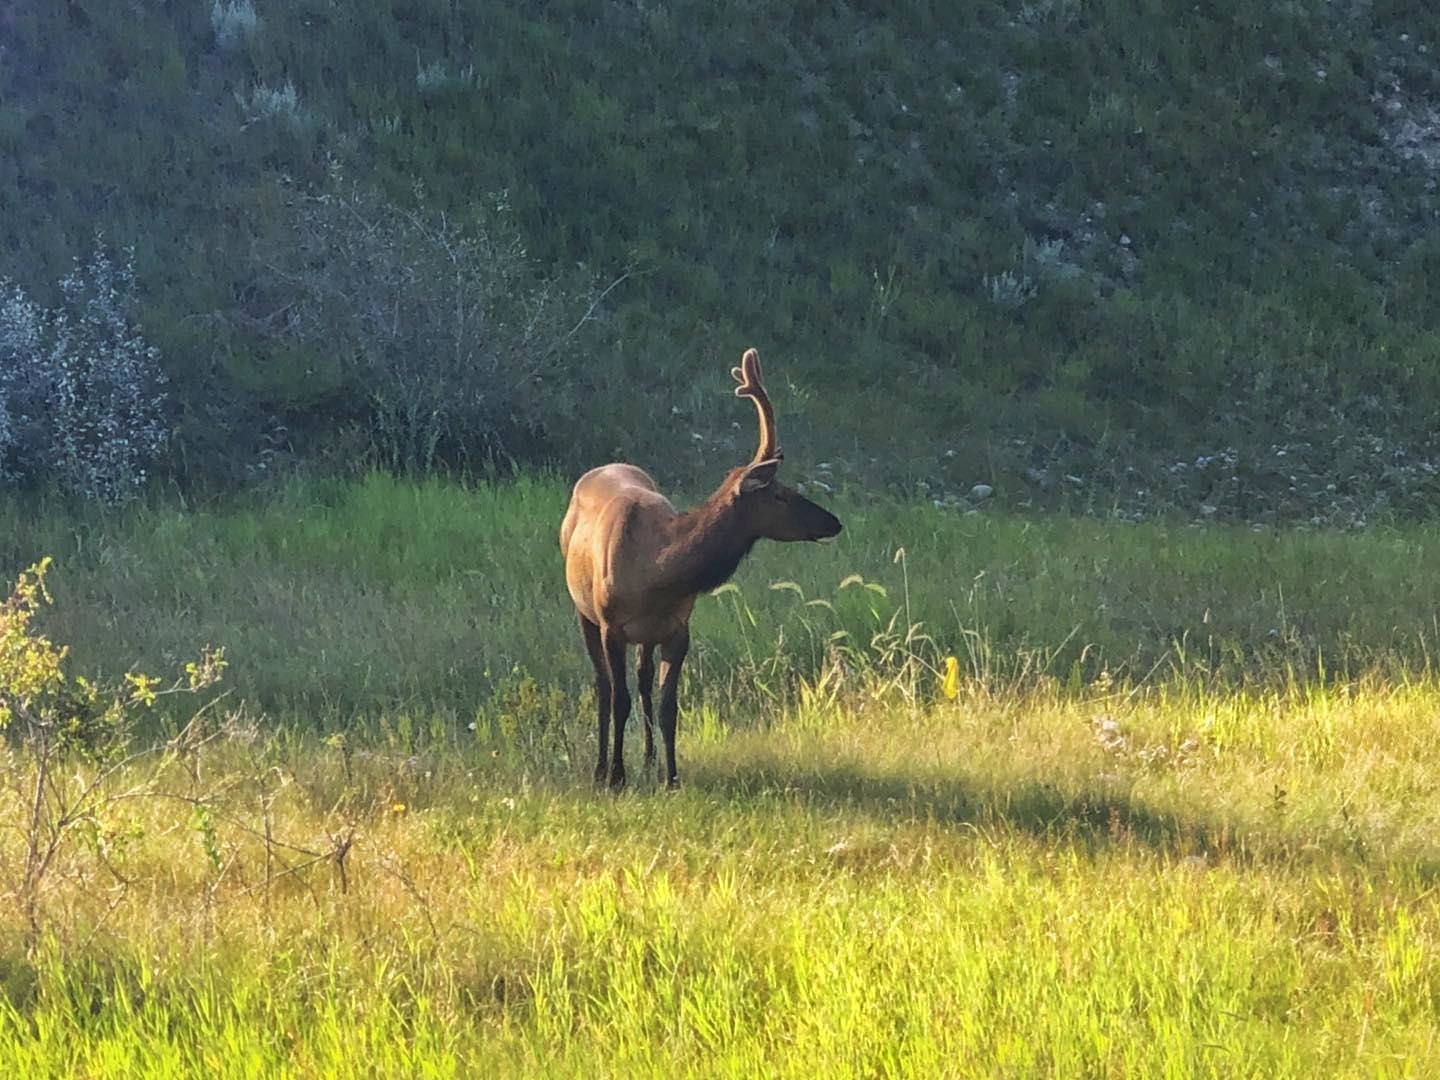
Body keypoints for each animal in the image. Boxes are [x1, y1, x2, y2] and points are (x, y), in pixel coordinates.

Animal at [555, 351, 840, 789]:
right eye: (779, 494)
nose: (834, 522)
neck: (657, 573)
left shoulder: (678, 628)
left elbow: (669, 704)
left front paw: (671, 777)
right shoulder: (611, 625)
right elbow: (619, 699)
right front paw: (617, 775)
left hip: (646, 635)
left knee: (642, 681)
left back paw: (649, 759)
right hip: (584, 612)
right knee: (604, 685)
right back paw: (602, 767)